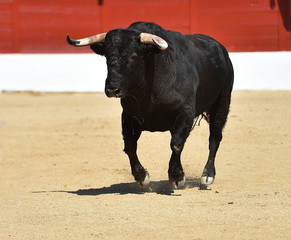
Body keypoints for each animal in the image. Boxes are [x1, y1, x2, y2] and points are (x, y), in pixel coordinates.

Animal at [67, 21, 234, 188]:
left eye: (133, 56)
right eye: (107, 56)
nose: (112, 89)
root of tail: (221, 50)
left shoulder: (185, 112)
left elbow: (176, 144)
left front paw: (176, 177)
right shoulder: (128, 115)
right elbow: (130, 146)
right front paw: (141, 176)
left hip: (222, 102)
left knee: (214, 137)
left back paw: (207, 175)